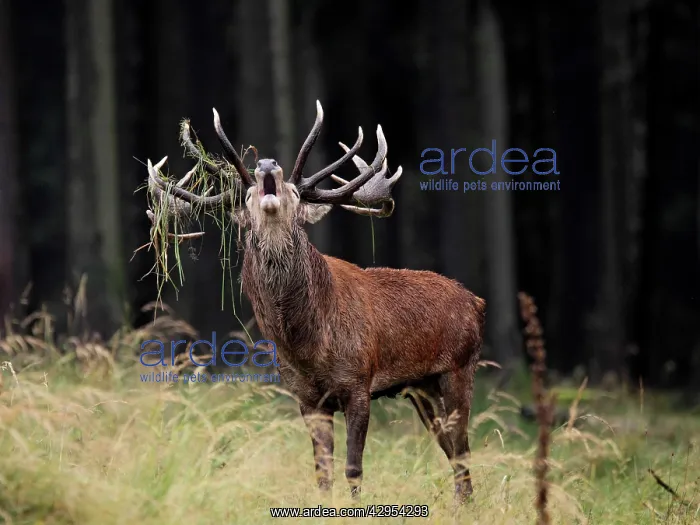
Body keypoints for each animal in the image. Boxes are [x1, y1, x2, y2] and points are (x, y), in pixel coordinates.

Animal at [144, 101, 486, 503]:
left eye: (295, 191)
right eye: (247, 196)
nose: (266, 163)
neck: (309, 345)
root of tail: (477, 302)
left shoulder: (358, 384)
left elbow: (353, 469)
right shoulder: (306, 398)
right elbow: (322, 473)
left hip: (458, 370)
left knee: (463, 452)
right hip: (422, 388)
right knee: (454, 454)